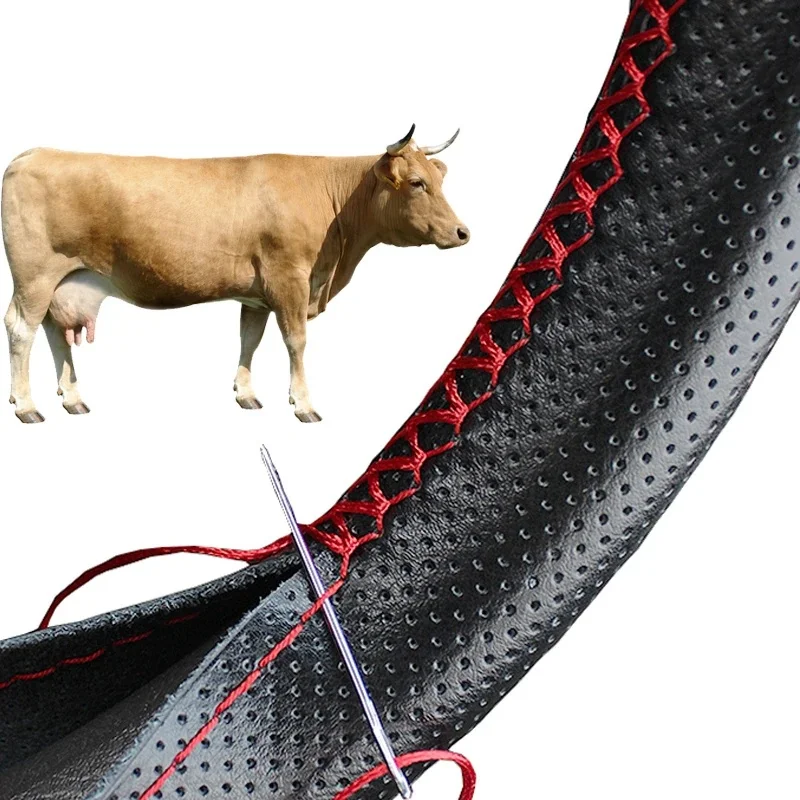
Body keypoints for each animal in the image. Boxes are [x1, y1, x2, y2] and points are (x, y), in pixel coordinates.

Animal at [1, 125, 469, 424]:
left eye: (439, 178)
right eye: (416, 182)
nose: (463, 232)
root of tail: (33, 153)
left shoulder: (257, 292)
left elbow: (250, 338)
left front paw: (246, 394)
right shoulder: (289, 277)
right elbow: (296, 341)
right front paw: (303, 404)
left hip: (63, 280)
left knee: (54, 332)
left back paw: (73, 399)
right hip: (34, 276)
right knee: (21, 329)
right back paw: (26, 406)